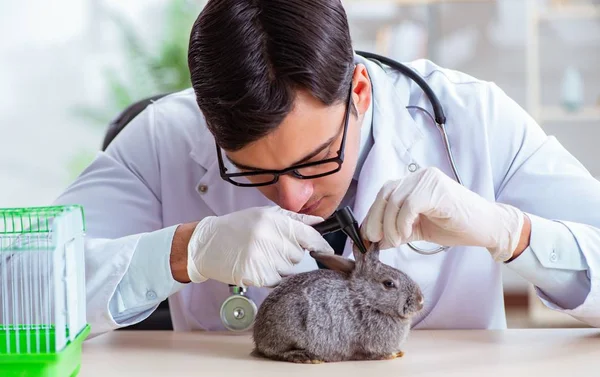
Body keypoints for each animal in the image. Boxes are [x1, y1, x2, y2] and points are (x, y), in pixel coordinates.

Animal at [251, 241, 424, 362]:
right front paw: (392, 354)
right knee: (275, 352)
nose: (420, 301)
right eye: (389, 283)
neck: (366, 299)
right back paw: (306, 357)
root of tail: (258, 338)